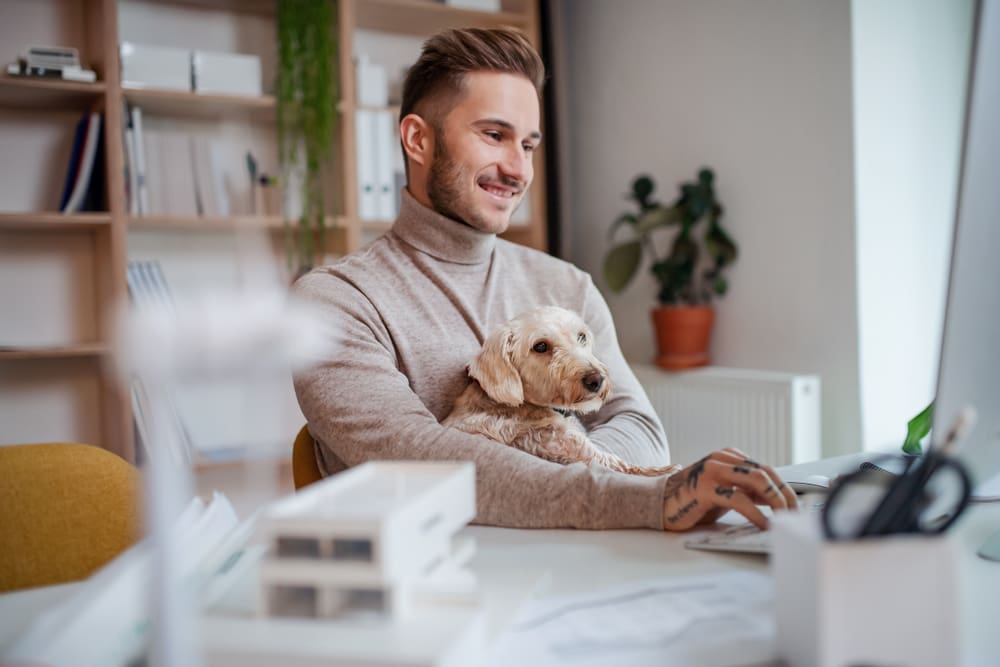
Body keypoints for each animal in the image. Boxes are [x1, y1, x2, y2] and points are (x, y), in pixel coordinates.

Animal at [446, 306, 680, 478]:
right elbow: (621, 464)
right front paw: (666, 471)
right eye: (540, 346)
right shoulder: (574, 447)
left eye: (581, 336)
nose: (596, 379)